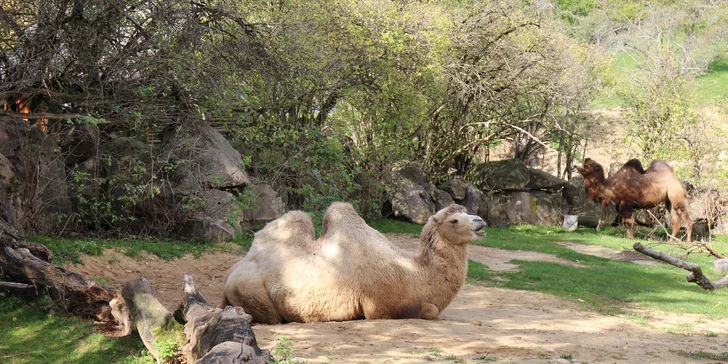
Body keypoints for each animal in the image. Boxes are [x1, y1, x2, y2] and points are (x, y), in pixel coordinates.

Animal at [219, 202, 486, 324]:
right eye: (453, 220)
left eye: (467, 211)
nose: (480, 221)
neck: (414, 272)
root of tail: (230, 274)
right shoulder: (379, 306)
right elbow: (429, 310)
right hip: (250, 291)